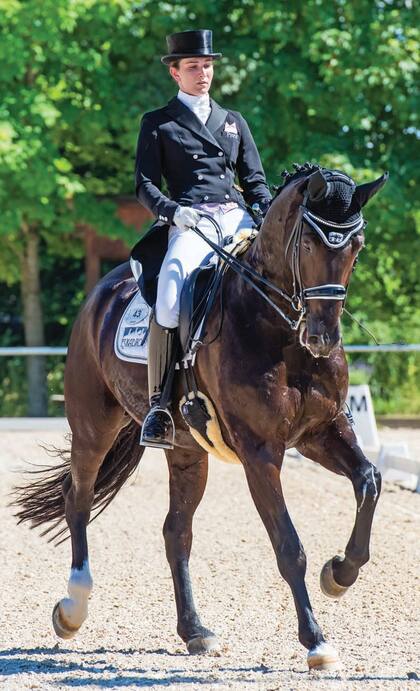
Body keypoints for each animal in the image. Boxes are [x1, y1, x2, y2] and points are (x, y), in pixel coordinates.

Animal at [14, 164, 388, 672]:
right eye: (309, 244)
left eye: (356, 246)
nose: (322, 337)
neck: (278, 330)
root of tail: (103, 291)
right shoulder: (260, 452)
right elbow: (288, 547)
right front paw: (316, 641)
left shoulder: (321, 432)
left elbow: (369, 481)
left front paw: (340, 573)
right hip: (93, 426)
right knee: (79, 501)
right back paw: (72, 609)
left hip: (188, 451)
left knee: (176, 532)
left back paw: (194, 631)